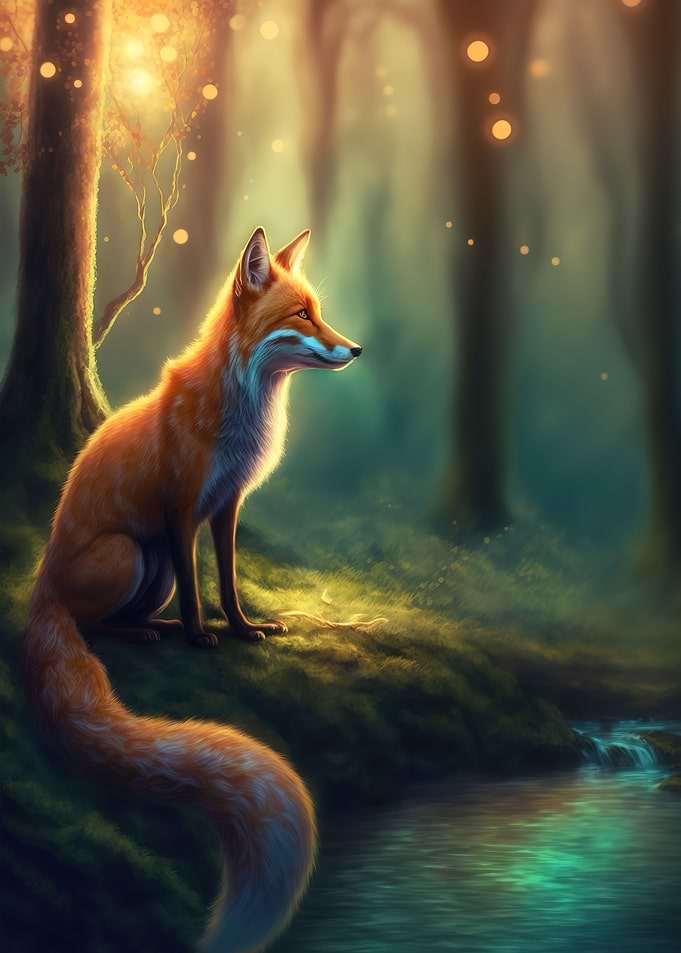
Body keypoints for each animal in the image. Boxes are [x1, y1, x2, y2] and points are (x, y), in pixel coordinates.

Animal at [23, 225, 362, 953]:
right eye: (302, 315)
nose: (354, 349)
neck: (243, 411)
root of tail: (41, 584)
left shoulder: (227, 504)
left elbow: (228, 582)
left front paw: (243, 630)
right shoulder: (179, 508)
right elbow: (197, 587)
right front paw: (202, 635)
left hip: (148, 570)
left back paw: (157, 626)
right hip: (132, 553)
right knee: (96, 626)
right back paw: (153, 632)